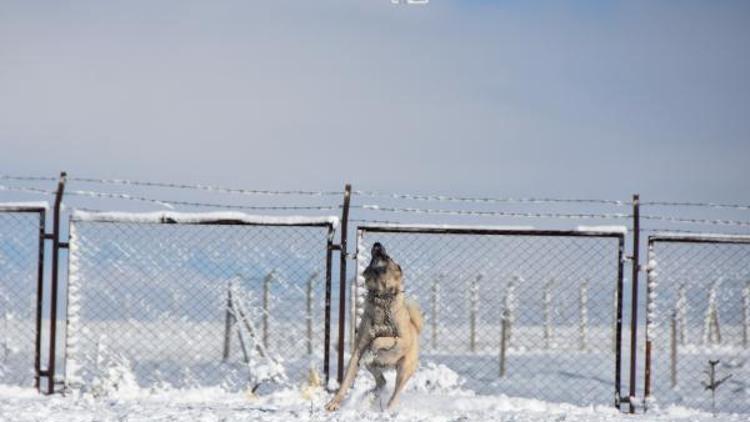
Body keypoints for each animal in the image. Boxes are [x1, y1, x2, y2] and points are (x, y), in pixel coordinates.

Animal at [328, 242, 426, 410]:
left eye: (388, 257)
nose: (377, 243)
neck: (382, 298)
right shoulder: (358, 350)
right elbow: (346, 380)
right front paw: (334, 402)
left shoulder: (402, 340)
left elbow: (381, 339)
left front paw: (373, 347)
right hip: (373, 366)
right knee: (382, 381)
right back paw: (371, 394)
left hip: (404, 369)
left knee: (395, 394)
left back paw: (386, 409)